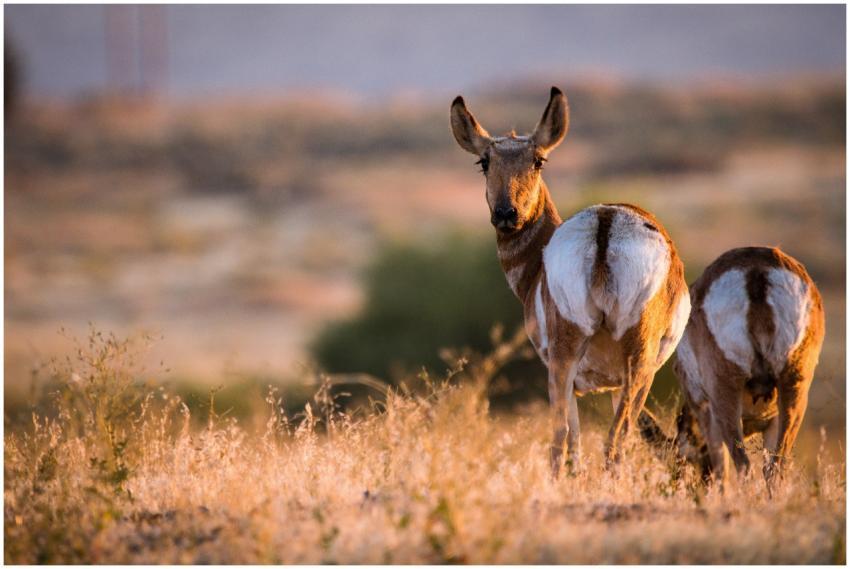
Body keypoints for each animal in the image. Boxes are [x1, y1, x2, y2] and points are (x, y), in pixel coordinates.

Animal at [450, 87, 690, 476]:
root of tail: (605, 222)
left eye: (538, 160)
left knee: (573, 438)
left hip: (579, 365)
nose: (506, 214)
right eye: (484, 162)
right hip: (625, 364)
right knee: (606, 439)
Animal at [673, 247, 825, 484]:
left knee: (743, 467)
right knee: (774, 470)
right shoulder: (772, 423)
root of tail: (756, 271)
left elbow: (721, 473)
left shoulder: (708, 416)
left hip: (726, 398)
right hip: (794, 391)